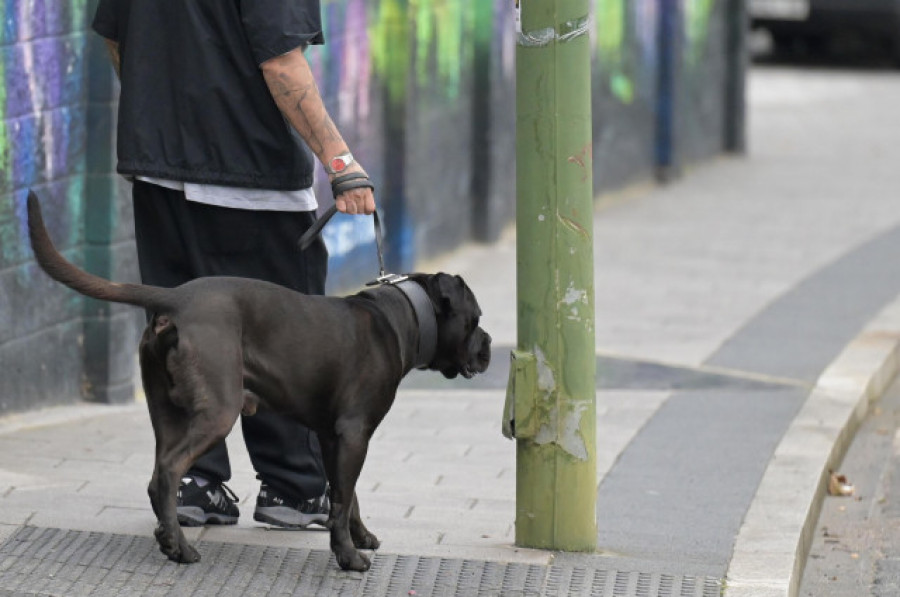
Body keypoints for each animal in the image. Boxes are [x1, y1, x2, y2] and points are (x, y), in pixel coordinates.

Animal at [26, 192, 492, 572]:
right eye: (477, 319)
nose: (489, 345)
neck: (404, 317)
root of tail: (174, 297)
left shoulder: (335, 436)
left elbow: (349, 494)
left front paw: (360, 537)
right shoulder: (354, 433)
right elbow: (343, 499)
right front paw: (347, 556)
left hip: (166, 411)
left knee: (161, 473)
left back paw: (167, 535)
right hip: (218, 410)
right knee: (169, 470)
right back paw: (181, 548)